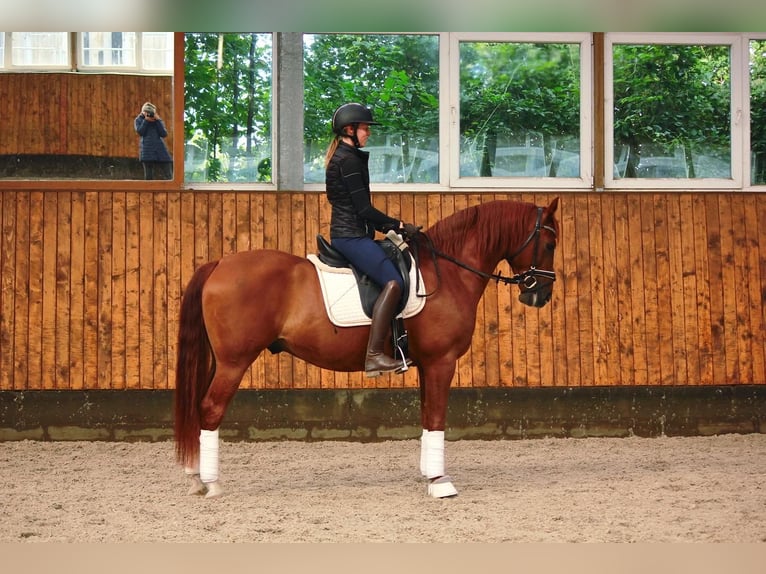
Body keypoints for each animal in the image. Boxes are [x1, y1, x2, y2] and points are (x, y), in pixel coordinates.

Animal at [176, 198, 560, 500]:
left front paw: (428, 474)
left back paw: (196, 478)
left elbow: (426, 417)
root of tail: (220, 264)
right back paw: (211, 484)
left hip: (220, 362)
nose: (540, 295)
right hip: (233, 362)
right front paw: (440, 482)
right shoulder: (441, 362)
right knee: (210, 409)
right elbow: (437, 418)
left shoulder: (427, 365)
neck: (447, 272)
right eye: (550, 244)